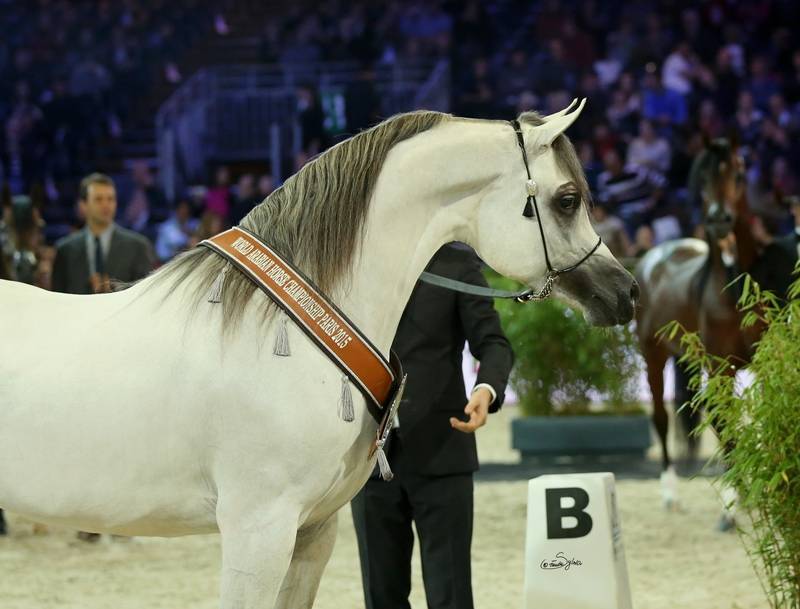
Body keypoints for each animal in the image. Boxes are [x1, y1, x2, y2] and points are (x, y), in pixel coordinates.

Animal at [634, 138, 759, 508]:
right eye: (702, 179)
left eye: (739, 173)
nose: (719, 220)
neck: (732, 284)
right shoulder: (721, 366)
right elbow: (725, 423)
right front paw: (735, 498)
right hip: (653, 356)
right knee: (661, 418)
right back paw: (669, 492)